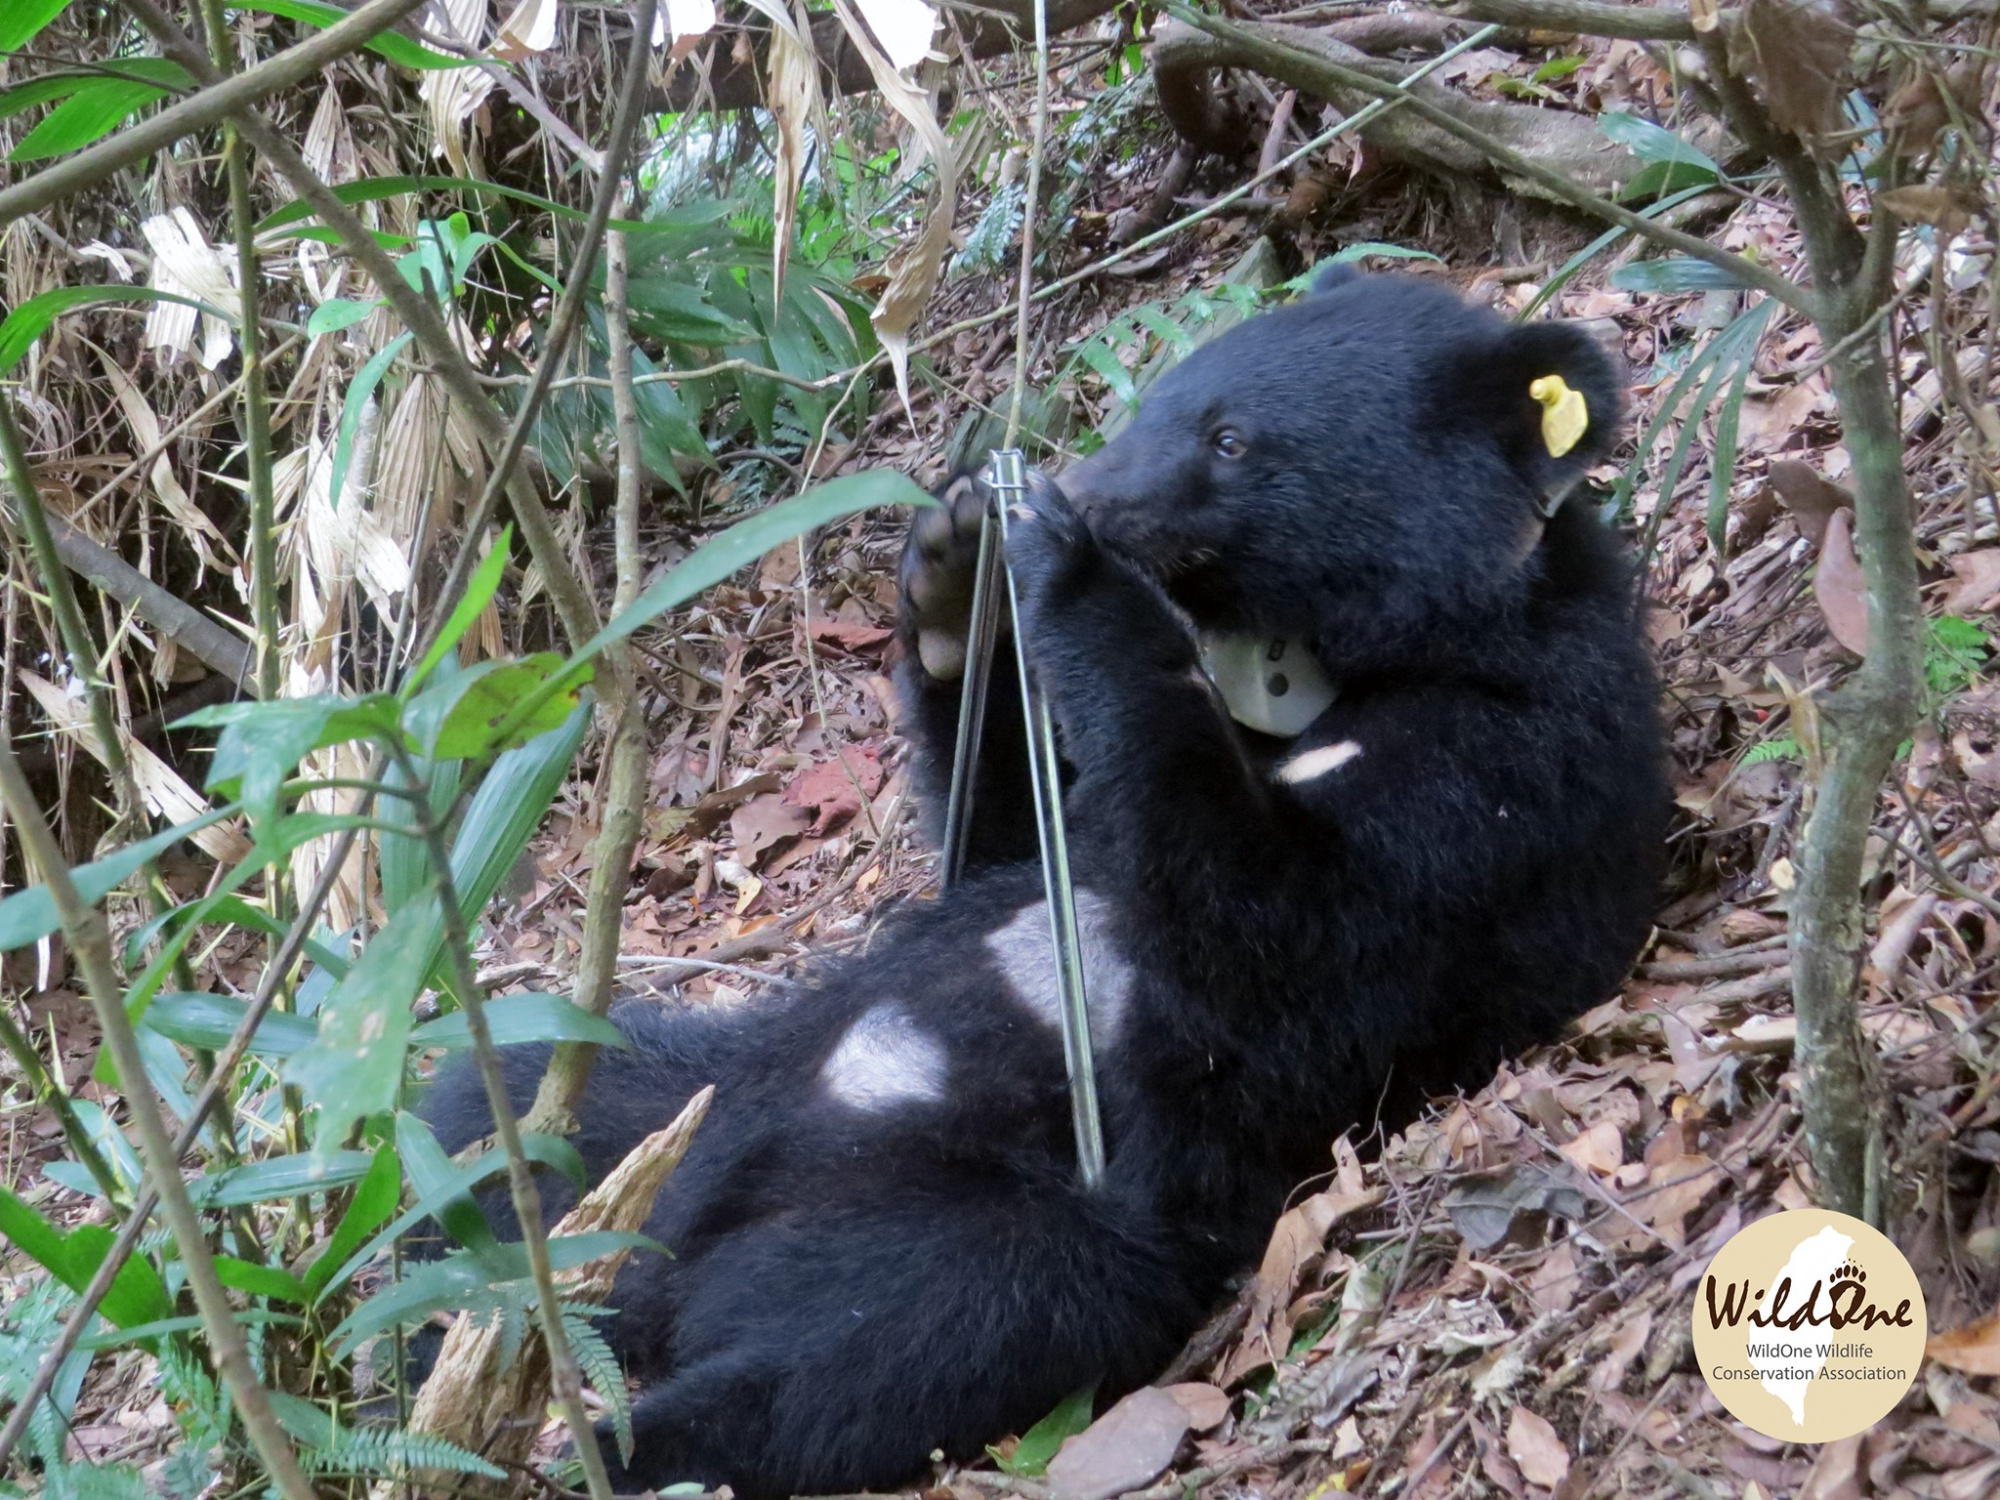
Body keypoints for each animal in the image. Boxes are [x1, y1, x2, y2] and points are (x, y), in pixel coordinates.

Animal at [426, 274, 1672, 1500]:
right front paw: (951, 576)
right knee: (488, 1115)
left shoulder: (1504, 770)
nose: (1080, 485)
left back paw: (615, 1443)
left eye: (1229, 441)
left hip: (1036, 1225)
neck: (1349, 661)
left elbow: (1289, 939)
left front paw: (1064, 567)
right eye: (1158, 402)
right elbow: (1009, 835)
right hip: (667, 1099)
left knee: (889, 1347)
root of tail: (679, 1264)